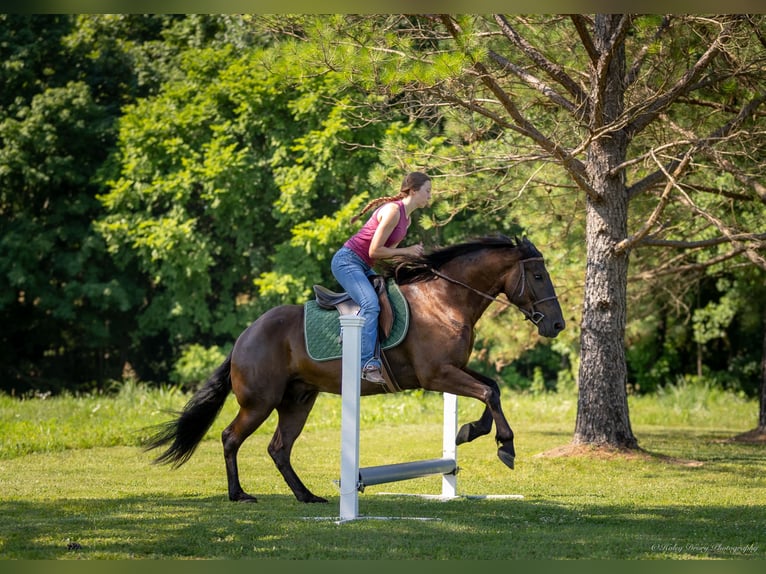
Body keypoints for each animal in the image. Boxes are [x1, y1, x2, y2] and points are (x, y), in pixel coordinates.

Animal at [146, 234, 564, 504]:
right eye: (538, 276)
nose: (557, 325)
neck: (444, 300)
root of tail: (244, 337)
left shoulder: (452, 369)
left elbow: (491, 388)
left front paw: (468, 432)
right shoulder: (435, 375)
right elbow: (489, 392)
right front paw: (505, 445)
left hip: (298, 400)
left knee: (279, 448)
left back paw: (307, 496)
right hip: (259, 402)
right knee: (231, 438)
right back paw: (239, 495)